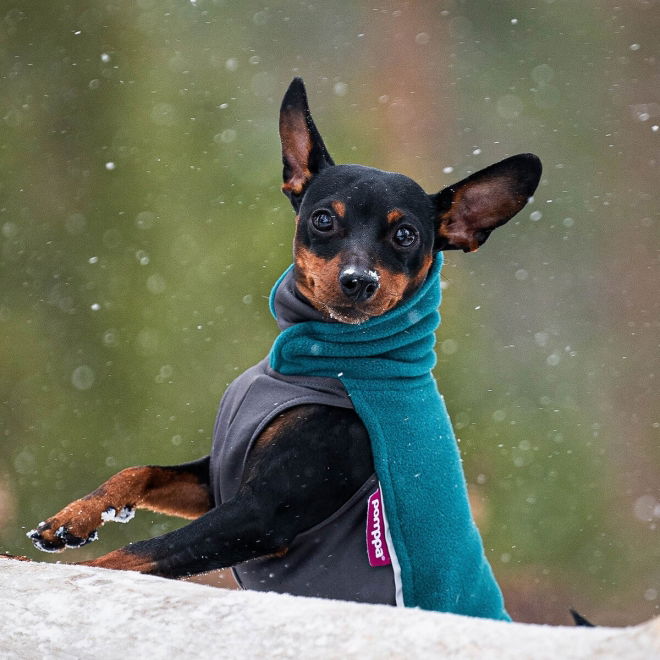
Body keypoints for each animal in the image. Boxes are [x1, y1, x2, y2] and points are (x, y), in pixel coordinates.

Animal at [25, 78, 540, 612]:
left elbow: (139, 553)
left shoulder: (260, 514)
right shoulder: (218, 479)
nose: (360, 281)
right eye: (323, 220)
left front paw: (61, 572)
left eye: (405, 235)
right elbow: (137, 472)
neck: (316, 362)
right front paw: (73, 519)